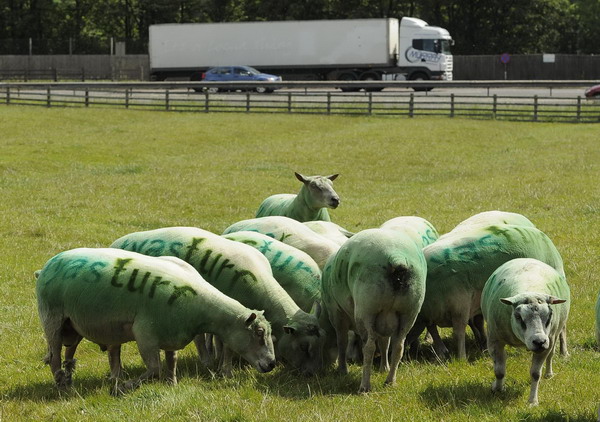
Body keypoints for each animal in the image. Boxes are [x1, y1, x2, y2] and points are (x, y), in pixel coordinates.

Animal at [35, 247, 274, 392]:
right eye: (259, 333)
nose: (271, 364)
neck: (200, 310)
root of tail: (47, 265)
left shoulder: (172, 332)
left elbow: (171, 360)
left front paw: (172, 383)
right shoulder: (145, 333)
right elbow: (154, 369)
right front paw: (125, 387)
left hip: (73, 325)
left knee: (69, 353)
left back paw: (68, 380)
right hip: (52, 319)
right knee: (55, 355)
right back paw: (60, 383)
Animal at [111, 227, 328, 376]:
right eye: (304, 346)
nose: (311, 375)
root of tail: (115, 243)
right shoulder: (232, 315)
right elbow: (227, 344)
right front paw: (226, 370)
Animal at [322, 227, 428, 392]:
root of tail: (396, 257)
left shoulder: (337, 314)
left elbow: (342, 342)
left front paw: (342, 370)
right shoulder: (385, 321)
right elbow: (384, 343)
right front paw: (384, 367)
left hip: (366, 310)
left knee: (369, 348)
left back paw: (365, 386)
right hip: (409, 311)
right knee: (398, 346)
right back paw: (390, 381)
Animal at [480, 258, 568, 406]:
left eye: (550, 315)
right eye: (518, 316)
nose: (539, 341)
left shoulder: (546, 344)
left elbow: (535, 374)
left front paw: (533, 401)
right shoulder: (494, 340)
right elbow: (499, 371)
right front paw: (497, 389)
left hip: (554, 335)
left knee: (551, 355)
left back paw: (549, 374)